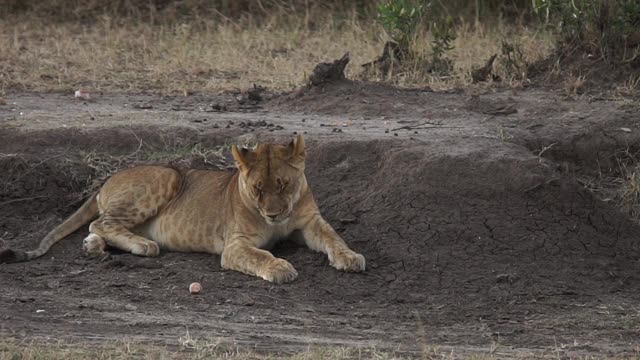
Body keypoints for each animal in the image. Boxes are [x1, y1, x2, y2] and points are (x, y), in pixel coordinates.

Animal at [0, 134, 364, 282]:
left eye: (284, 185)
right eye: (257, 189)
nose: (273, 214)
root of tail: (107, 179)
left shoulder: (309, 221)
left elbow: (333, 238)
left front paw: (350, 257)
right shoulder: (235, 246)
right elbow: (260, 255)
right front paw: (279, 268)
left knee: (97, 227)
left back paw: (94, 249)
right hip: (168, 176)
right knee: (101, 223)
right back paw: (144, 245)